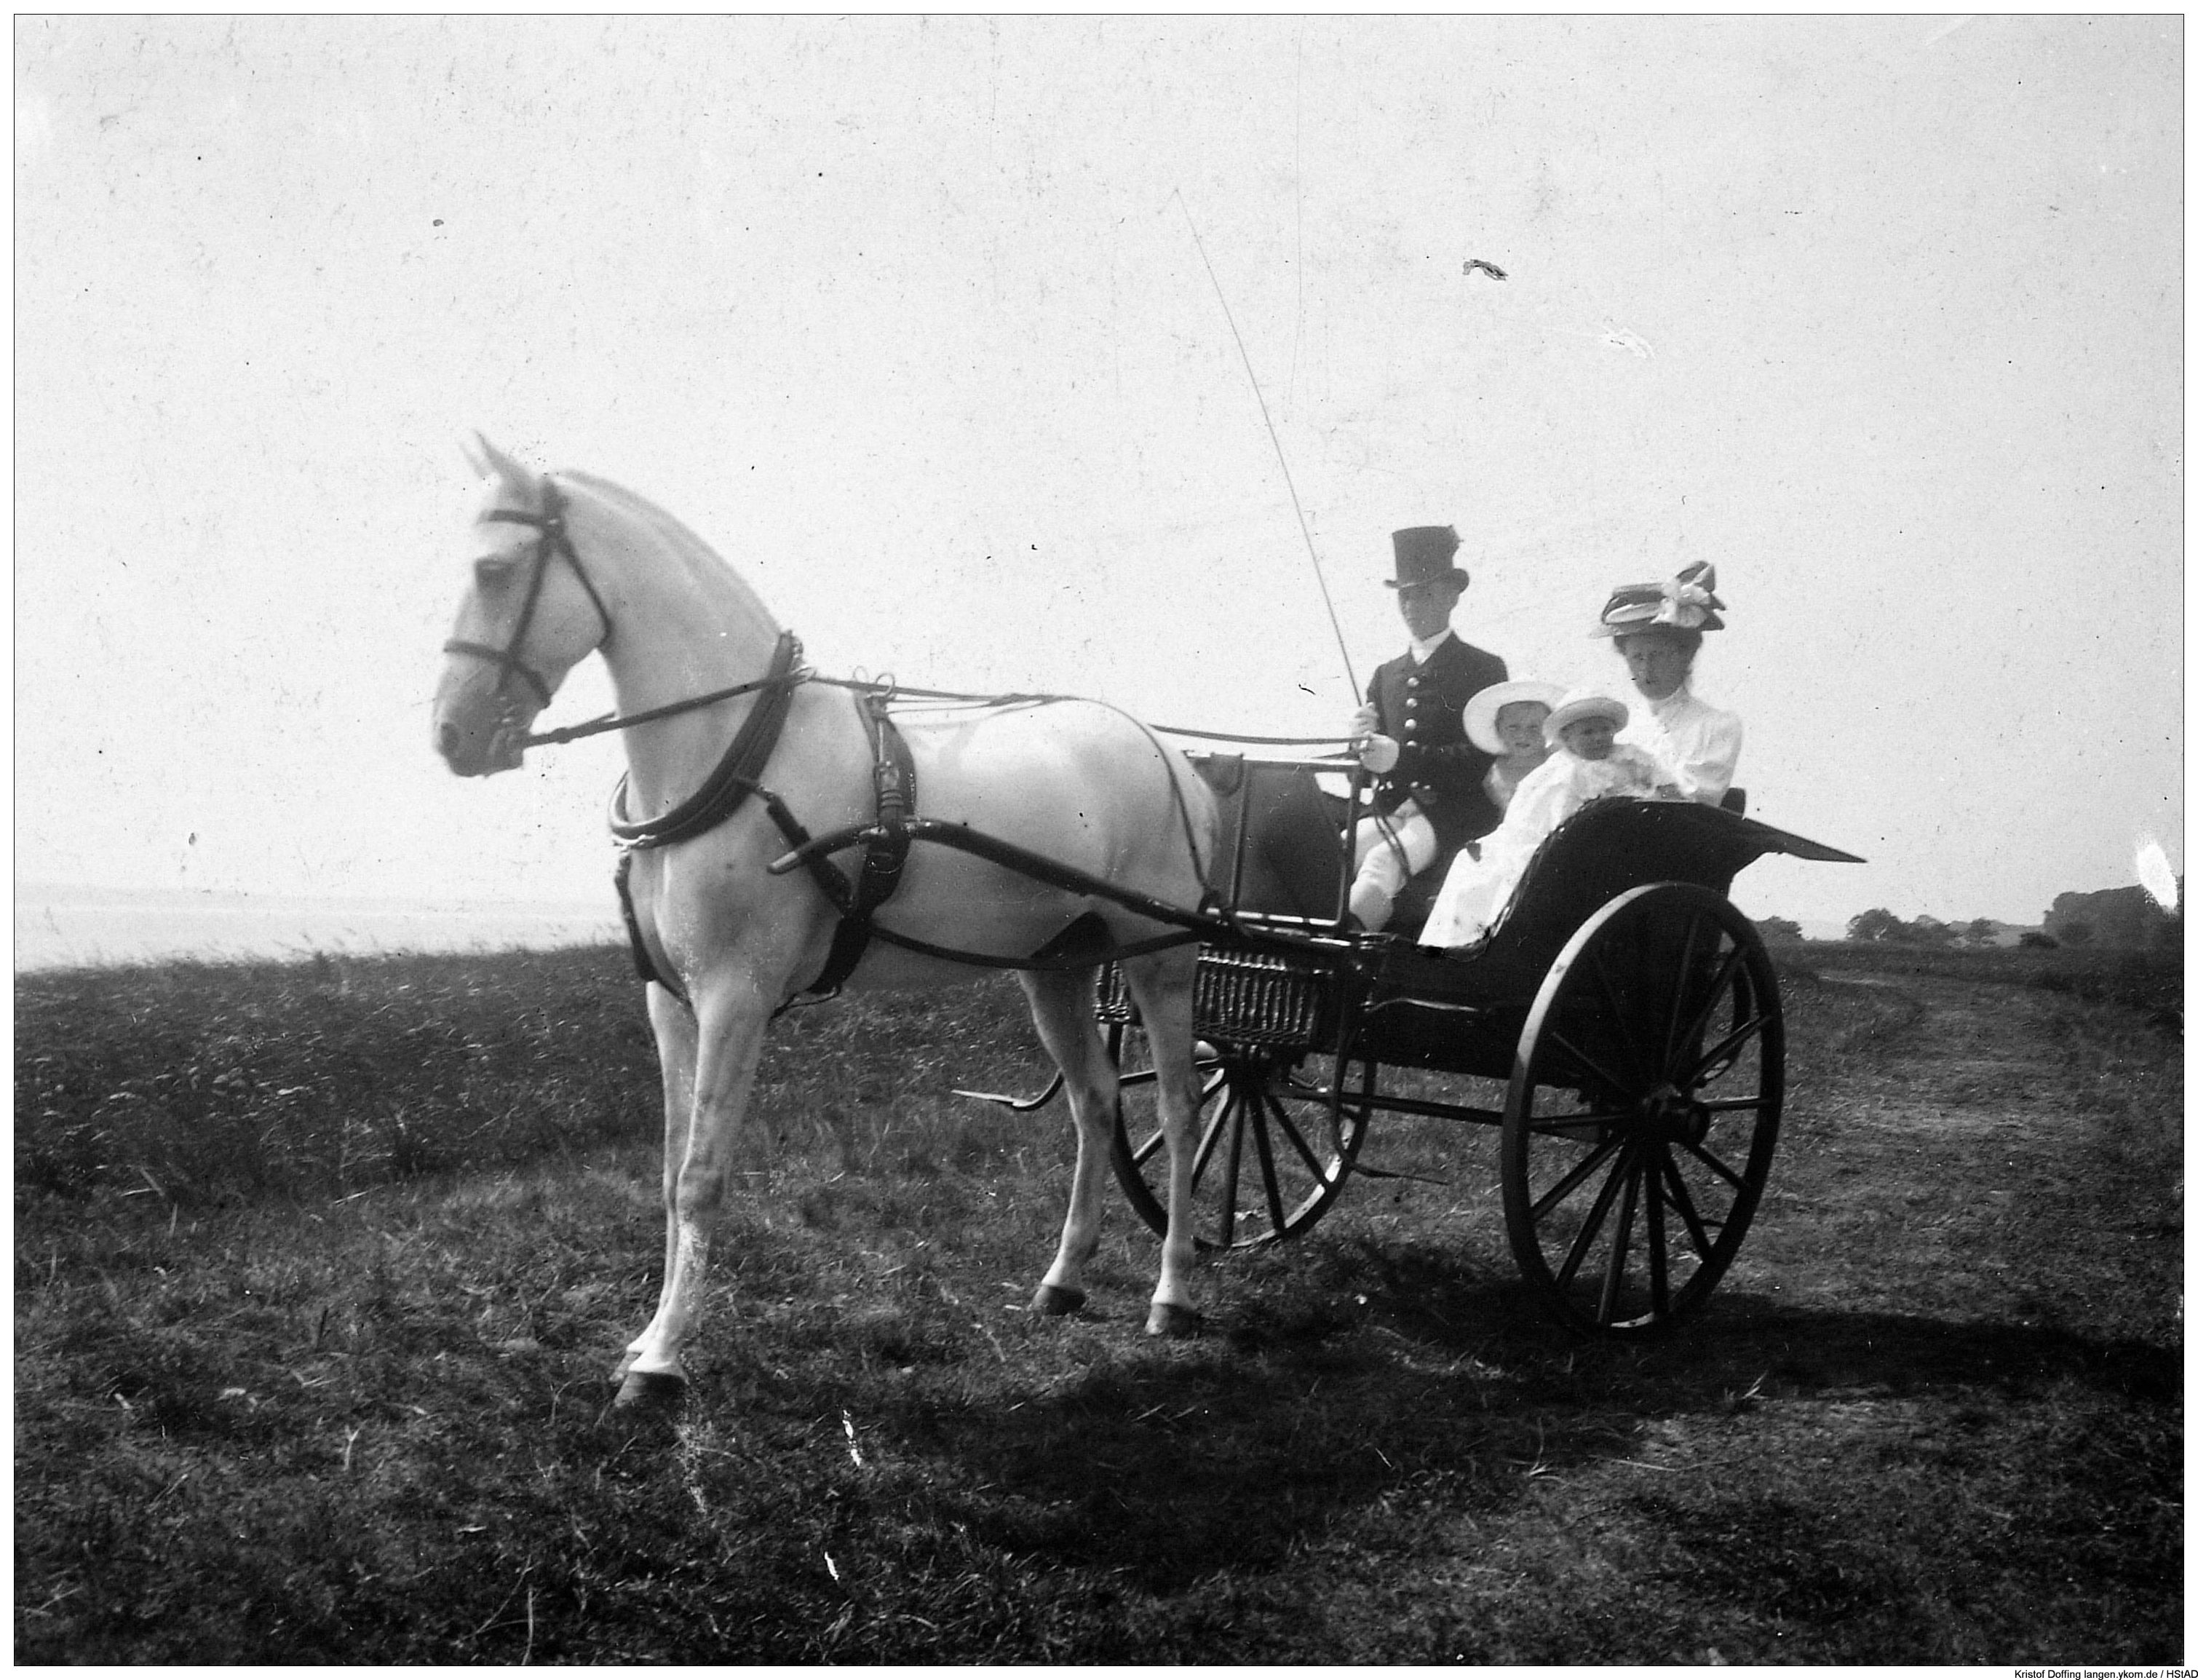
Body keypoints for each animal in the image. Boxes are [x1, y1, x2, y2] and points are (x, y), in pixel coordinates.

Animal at [431, 438, 1218, 1410]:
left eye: (493, 569)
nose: (452, 735)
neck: (738, 747)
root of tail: (1169, 755)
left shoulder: (735, 995)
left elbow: (701, 1177)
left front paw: (661, 1363)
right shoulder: (670, 1001)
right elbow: (668, 1172)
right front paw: (649, 1335)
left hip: (1159, 959)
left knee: (1179, 1105)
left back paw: (1173, 1290)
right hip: (1056, 965)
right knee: (1095, 1101)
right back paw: (1063, 1279)